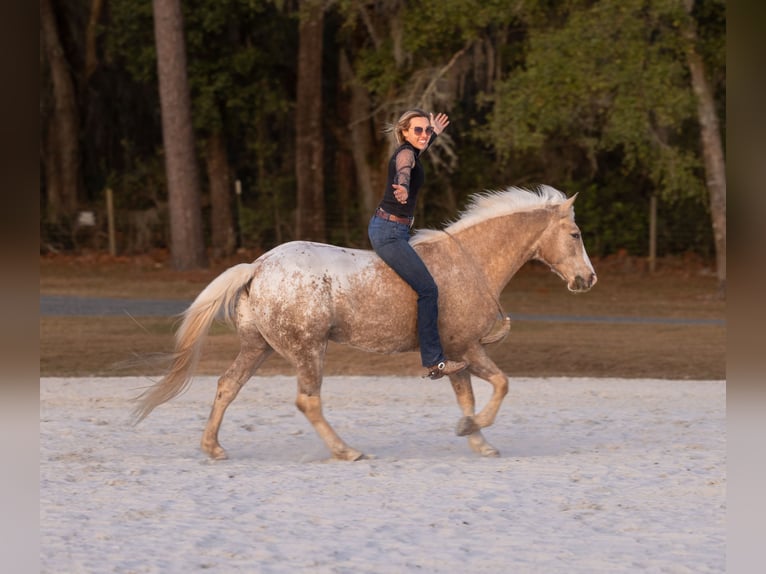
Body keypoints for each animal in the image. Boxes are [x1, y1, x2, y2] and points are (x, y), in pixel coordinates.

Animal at [132, 185, 597, 460]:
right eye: (575, 235)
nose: (587, 279)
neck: (471, 262)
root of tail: (258, 266)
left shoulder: (456, 355)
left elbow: (468, 395)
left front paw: (478, 440)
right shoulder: (465, 348)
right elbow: (500, 385)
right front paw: (474, 429)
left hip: (258, 346)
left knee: (227, 386)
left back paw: (212, 447)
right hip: (308, 349)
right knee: (308, 401)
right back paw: (346, 450)